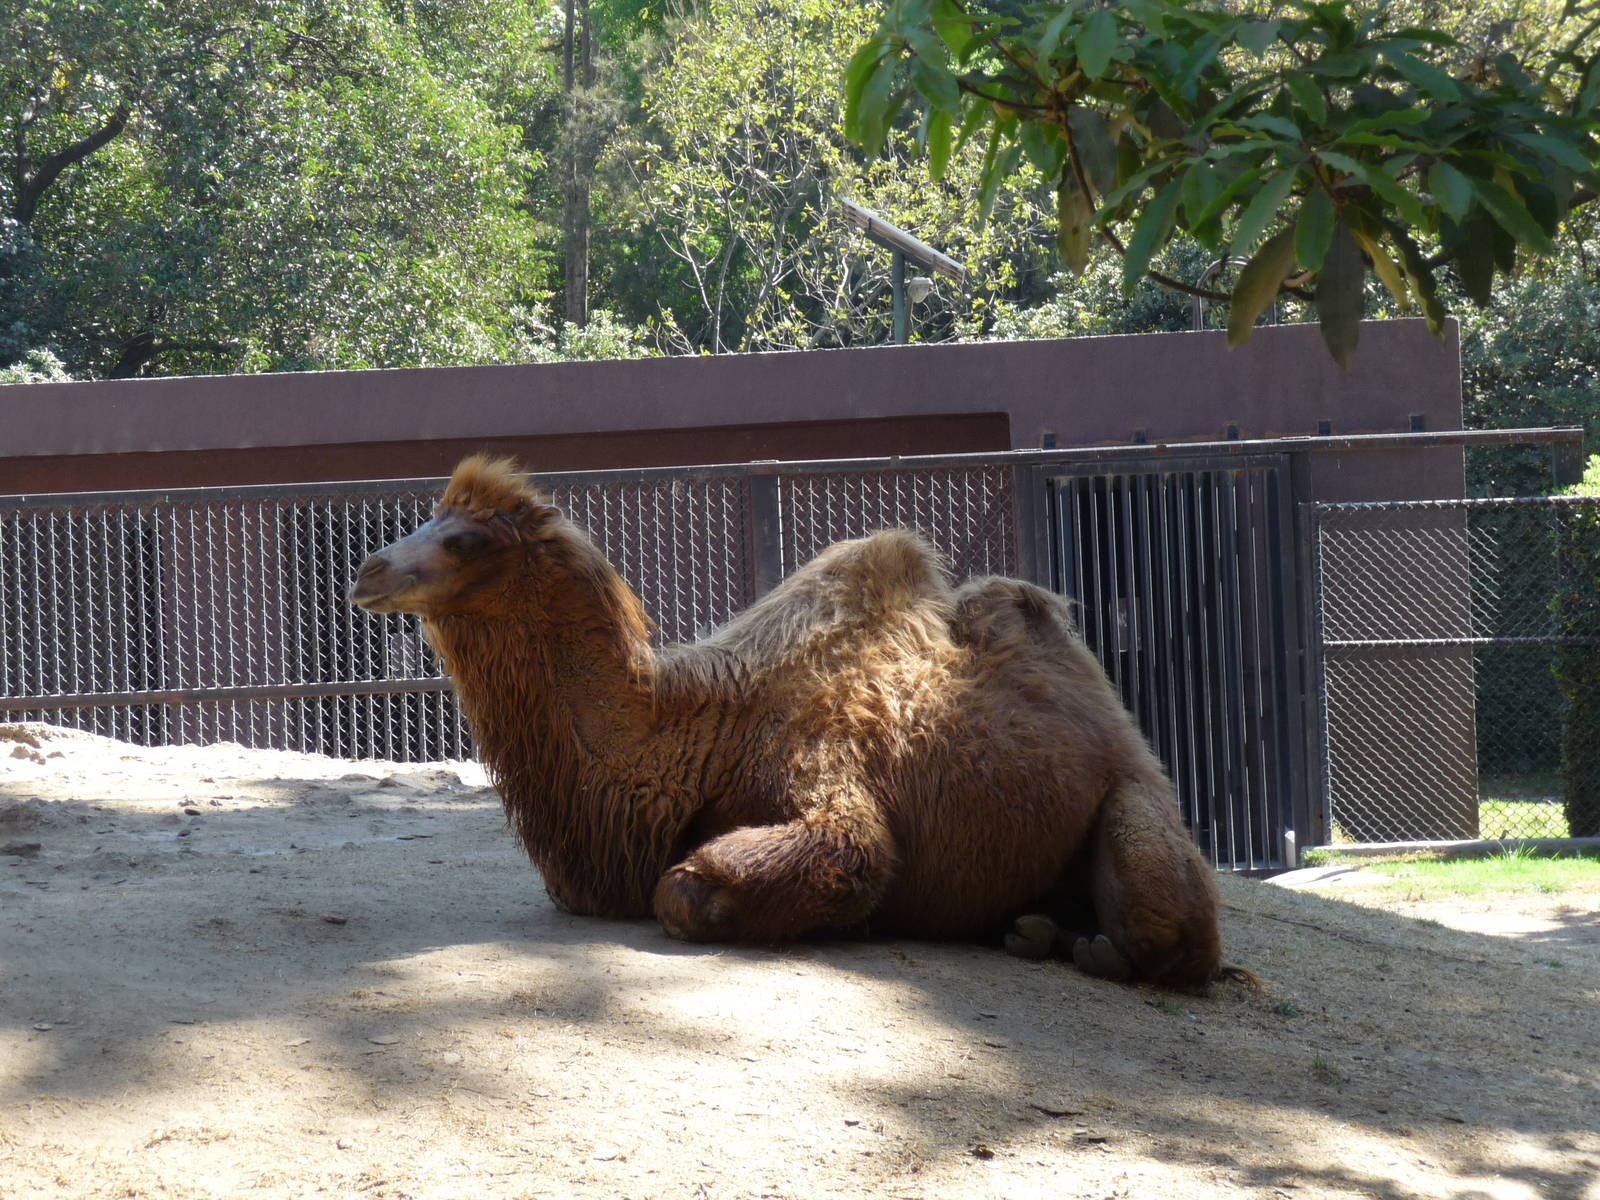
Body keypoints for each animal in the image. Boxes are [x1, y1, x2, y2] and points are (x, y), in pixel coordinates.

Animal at [349, 455, 1224, 987]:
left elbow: (709, 883)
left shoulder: (827, 774)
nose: (367, 568)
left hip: (1135, 794)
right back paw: (1034, 930)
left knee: (1173, 933)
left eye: (463, 539)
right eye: (429, 518)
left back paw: (1090, 945)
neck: (703, 728)